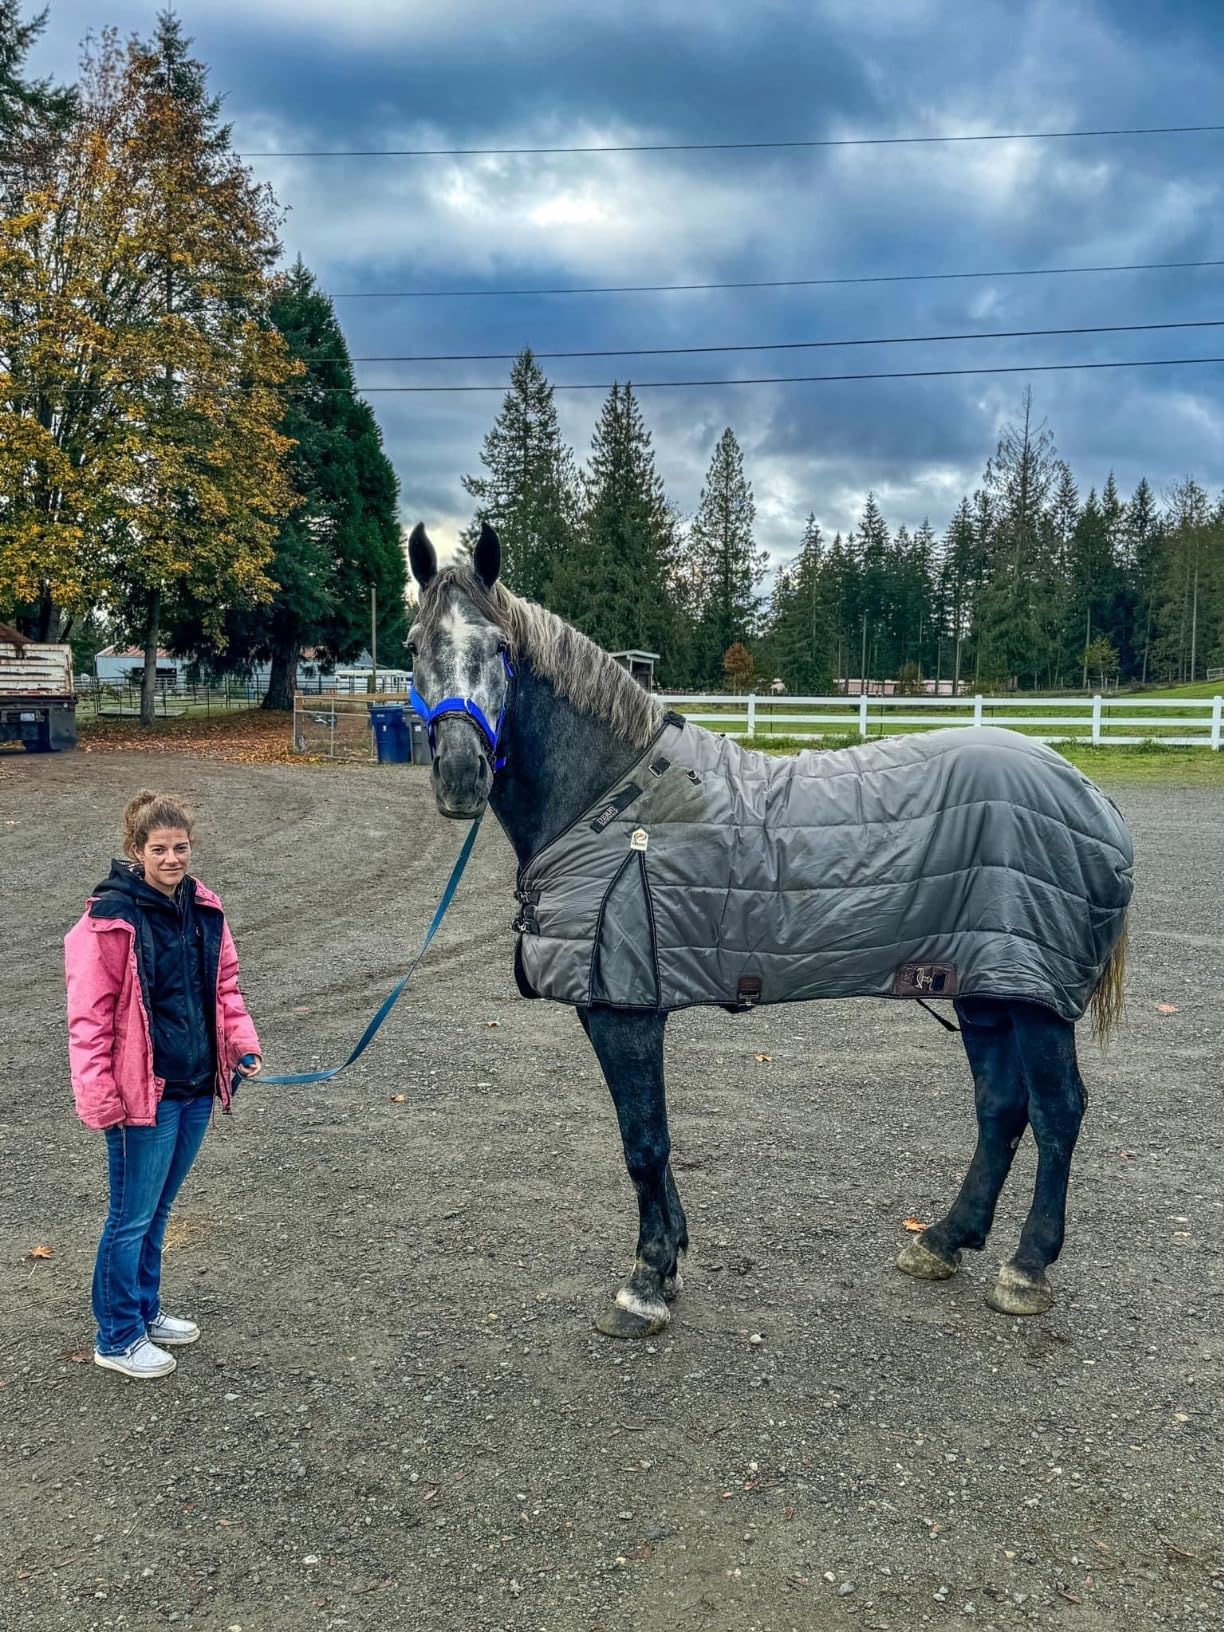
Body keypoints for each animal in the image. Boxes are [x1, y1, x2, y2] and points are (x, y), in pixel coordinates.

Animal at [405, 521, 1133, 1340]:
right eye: (412, 645)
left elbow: (643, 1141)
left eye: (499, 647)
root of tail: (1088, 793)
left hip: (1034, 1000)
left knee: (1058, 1112)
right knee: (1001, 1109)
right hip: (984, 991)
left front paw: (645, 1283)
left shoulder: (624, 1009)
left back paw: (1025, 1268)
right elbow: (653, 1143)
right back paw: (944, 1240)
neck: (614, 803)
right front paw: (672, 1260)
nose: (461, 775)